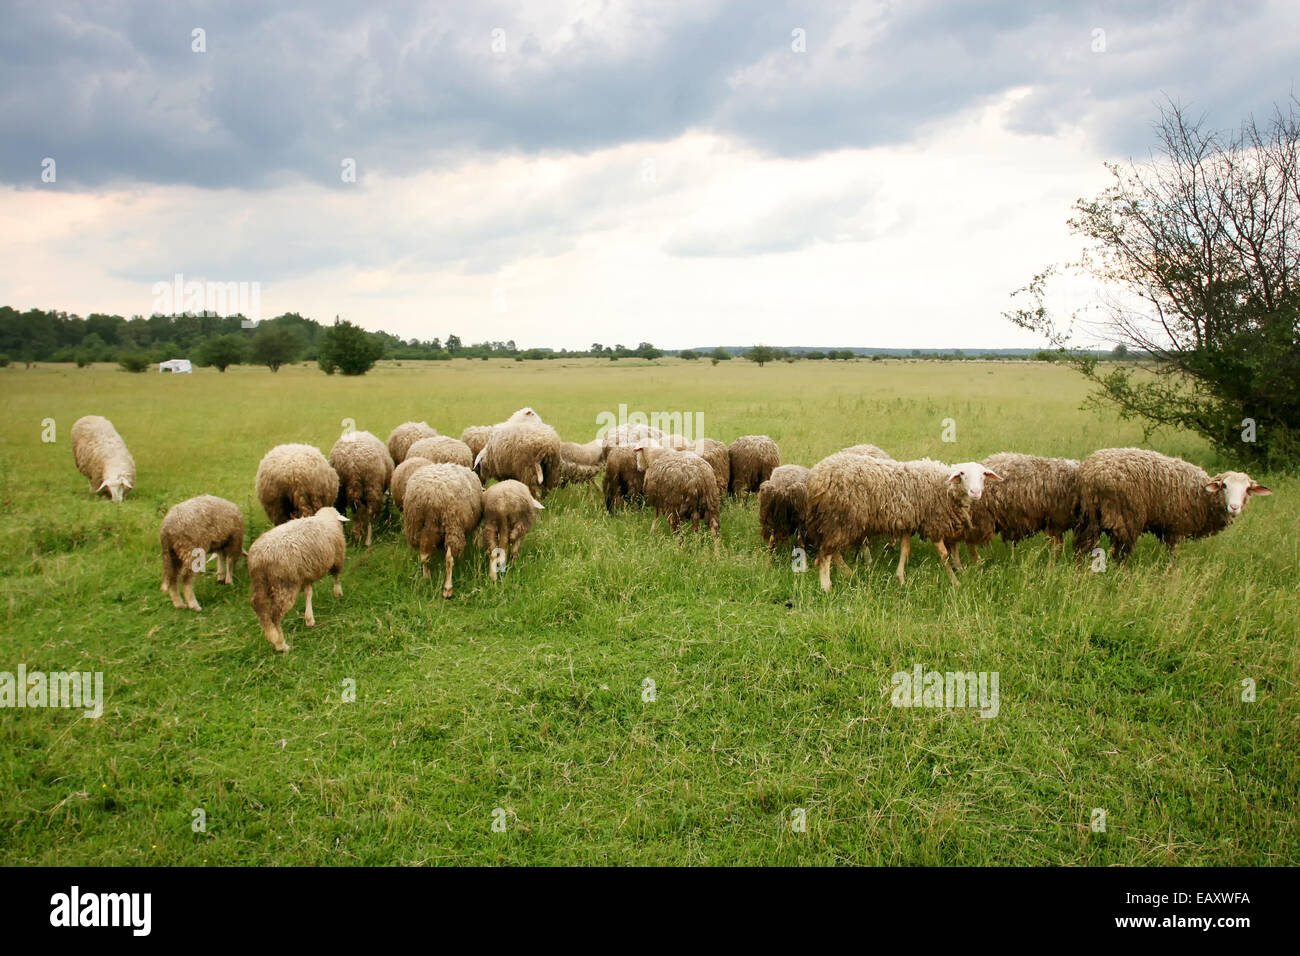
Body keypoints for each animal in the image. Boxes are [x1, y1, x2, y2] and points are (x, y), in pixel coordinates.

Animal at [247, 506, 348, 652]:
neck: (326, 518)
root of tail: (260, 558)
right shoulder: (337, 559)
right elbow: (336, 577)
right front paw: (338, 592)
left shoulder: (305, 575)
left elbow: (309, 593)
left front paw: (309, 618)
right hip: (285, 584)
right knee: (275, 615)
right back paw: (281, 644)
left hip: (260, 582)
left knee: (258, 605)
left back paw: (271, 636)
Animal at [403, 463, 484, 598]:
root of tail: (429, 497)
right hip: (452, 524)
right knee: (449, 559)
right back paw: (448, 589)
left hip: (417, 525)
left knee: (424, 556)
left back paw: (426, 577)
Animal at [806, 453, 1003, 591]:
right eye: (962, 474)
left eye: (983, 475)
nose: (976, 492)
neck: (944, 487)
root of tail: (817, 477)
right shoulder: (933, 523)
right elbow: (944, 555)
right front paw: (955, 582)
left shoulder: (907, 522)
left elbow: (905, 550)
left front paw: (900, 578)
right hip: (841, 518)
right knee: (826, 553)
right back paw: (826, 586)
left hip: (837, 521)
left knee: (833, 551)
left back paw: (848, 573)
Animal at [1074, 448, 1273, 562]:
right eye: (1224, 486)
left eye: (1247, 489)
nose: (1234, 507)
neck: (1202, 495)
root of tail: (1091, 472)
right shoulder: (1176, 528)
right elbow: (1172, 555)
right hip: (1126, 517)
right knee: (1120, 552)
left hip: (1090, 514)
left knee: (1084, 542)